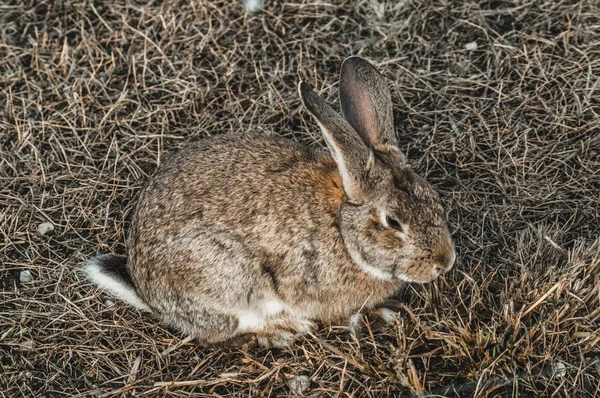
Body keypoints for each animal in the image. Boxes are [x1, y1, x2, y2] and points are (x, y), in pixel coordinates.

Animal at [81, 56, 454, 348]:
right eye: (393, 222)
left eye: (435, 200)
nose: (445, 262)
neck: (343, 229)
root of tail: (146, 292)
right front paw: (381, 315)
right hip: (231, 283)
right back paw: (283, 330)